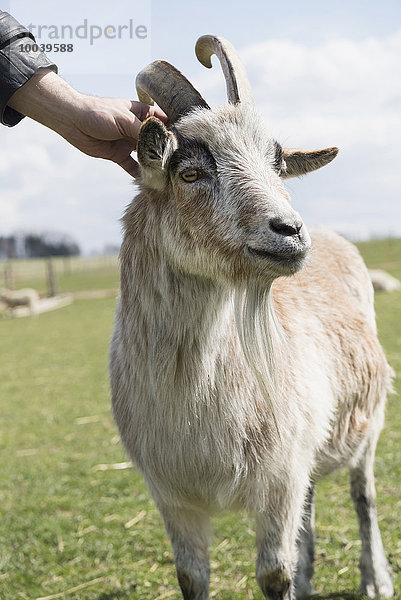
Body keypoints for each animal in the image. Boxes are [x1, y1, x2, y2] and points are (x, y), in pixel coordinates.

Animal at [108, 35, 392, 596]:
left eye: (276, 164)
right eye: (190, 172)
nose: (290, 231)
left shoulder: (278, 481)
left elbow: (273, 574)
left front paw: (295, 579)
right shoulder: (174, 498)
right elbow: (191, 577)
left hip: (367, 423)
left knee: (364, 495)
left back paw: (375, 578)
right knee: (311, 507)